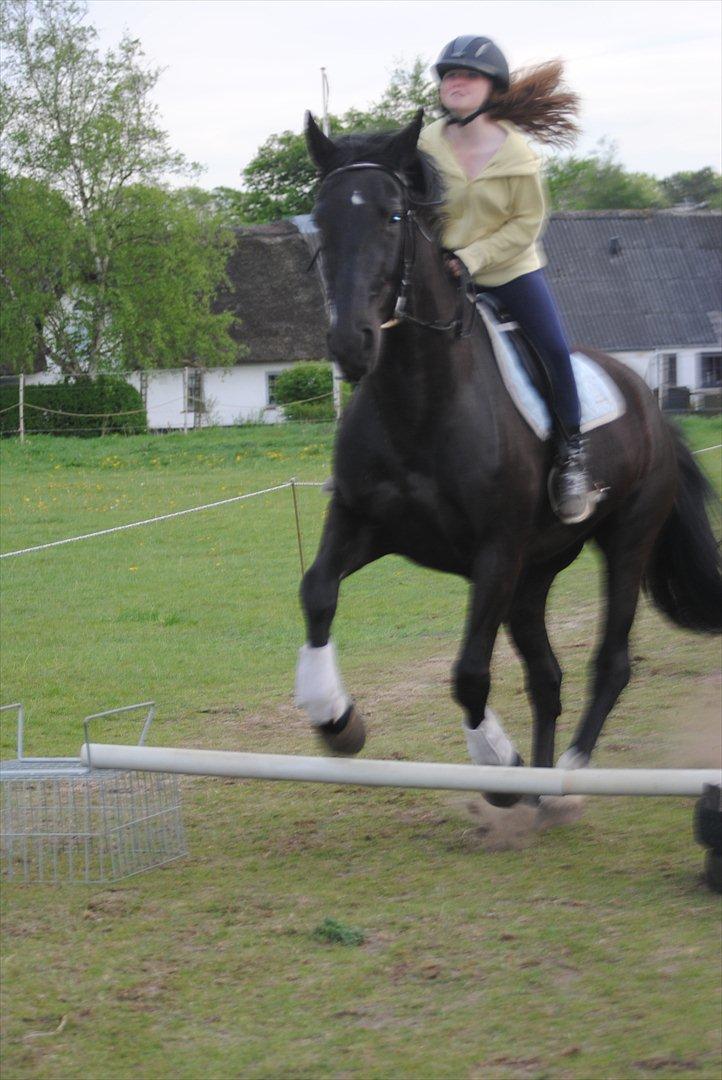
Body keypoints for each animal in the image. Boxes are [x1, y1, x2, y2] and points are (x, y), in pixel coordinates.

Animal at [293, 111, 720, 803]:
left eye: (392, 216)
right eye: (321, 219)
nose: (350, 344)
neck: (419, 400)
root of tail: (652, 407)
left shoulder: (494, 555)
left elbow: (469, 671)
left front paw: (498, 761)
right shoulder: (362, 524)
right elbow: (317, 593)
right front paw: (335, 718)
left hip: (625, 540)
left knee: (611, 662)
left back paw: (566, 778)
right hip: (534, 574)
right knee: (547, 677)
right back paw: (543, 789)